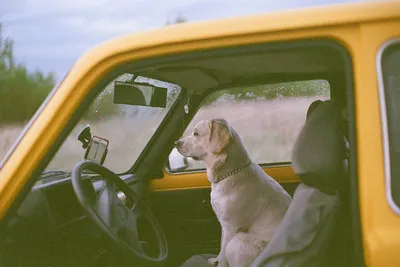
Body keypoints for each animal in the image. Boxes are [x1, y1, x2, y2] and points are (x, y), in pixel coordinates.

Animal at [175, 119, 290, 267]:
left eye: (196, 134)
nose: (176, 143)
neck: (230, 173)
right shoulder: (224, 224)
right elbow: (221, 248)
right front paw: (215, 260)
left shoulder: (231, 228)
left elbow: (224, 255)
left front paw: (219, 263)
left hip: (238, 241)